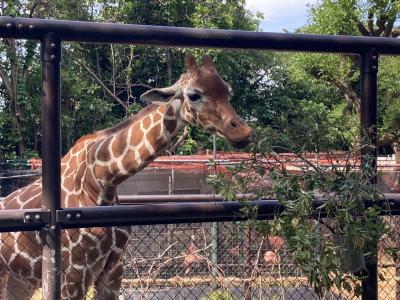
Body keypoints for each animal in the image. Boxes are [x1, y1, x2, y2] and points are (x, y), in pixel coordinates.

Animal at [0, 54, 252, 300]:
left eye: (227, 90)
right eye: (194, 95)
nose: (243, 132)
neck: (102, 181)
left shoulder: (113, 268)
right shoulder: (73, 273)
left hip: (20, 281)